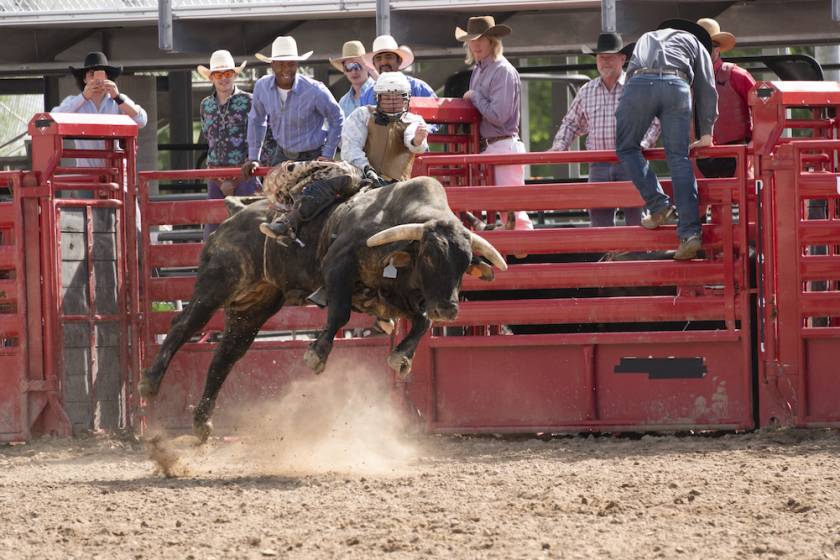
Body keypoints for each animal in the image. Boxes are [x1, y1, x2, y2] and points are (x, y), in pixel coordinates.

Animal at [138, 167, 506, 442]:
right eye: (429, 257)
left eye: (466, 262)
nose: (449, 309)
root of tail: (236, 214)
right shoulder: (337, 264)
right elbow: (339, 313)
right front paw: (316, 353)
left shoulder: (397, 298)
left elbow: (422, 322)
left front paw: (401, 357)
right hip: (218, 281)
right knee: (184, 326)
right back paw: (150, 383)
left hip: (253, 307)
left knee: (225, 356)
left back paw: (202, 423)